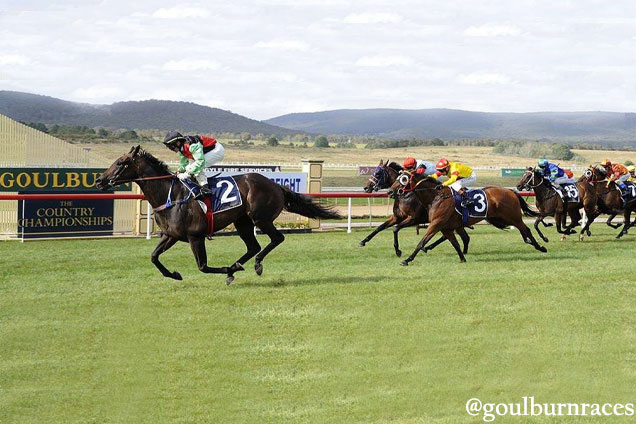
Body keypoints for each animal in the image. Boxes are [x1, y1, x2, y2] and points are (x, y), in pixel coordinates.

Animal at [95, 147, 340, 284]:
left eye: (120, 162)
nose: (99, 180)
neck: (170, 195)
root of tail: (276, 185)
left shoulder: (195, 236)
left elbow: (202, 267)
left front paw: (227, 272)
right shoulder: (170, 235)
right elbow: (154, 257)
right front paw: (174, 274)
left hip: (260, 218)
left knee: (276, 239)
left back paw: (253, 265)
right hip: (242, 222)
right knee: (253, 246)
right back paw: (239, 265)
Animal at [392, 171, 548, 264]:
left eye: (403, 179)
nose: (391, 191)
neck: (436, 197)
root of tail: (511, 191)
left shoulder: (436, 224)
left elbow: (422, 242)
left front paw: (407, 259)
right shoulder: (446, 227)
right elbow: (455, 243)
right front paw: (462, 258)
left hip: (513, 217)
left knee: (526, 229)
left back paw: (540, 247)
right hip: (504, 219)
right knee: (523, 231)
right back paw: (534, 244)